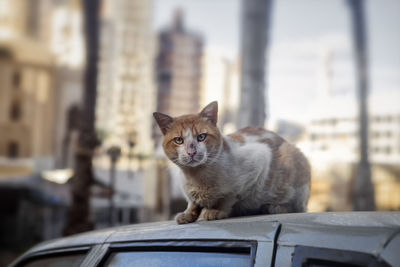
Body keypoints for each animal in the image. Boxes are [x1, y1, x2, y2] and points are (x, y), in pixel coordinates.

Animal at [152, 101, 310, 225]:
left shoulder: (260, 157)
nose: (192, 152)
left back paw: (273, 207)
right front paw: (188, 214)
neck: (197, 176)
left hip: (291, 162)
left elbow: (229, 196)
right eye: (179, 140)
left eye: (201, 137)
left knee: (296, 208)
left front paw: (216, 210)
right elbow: (192, 202)